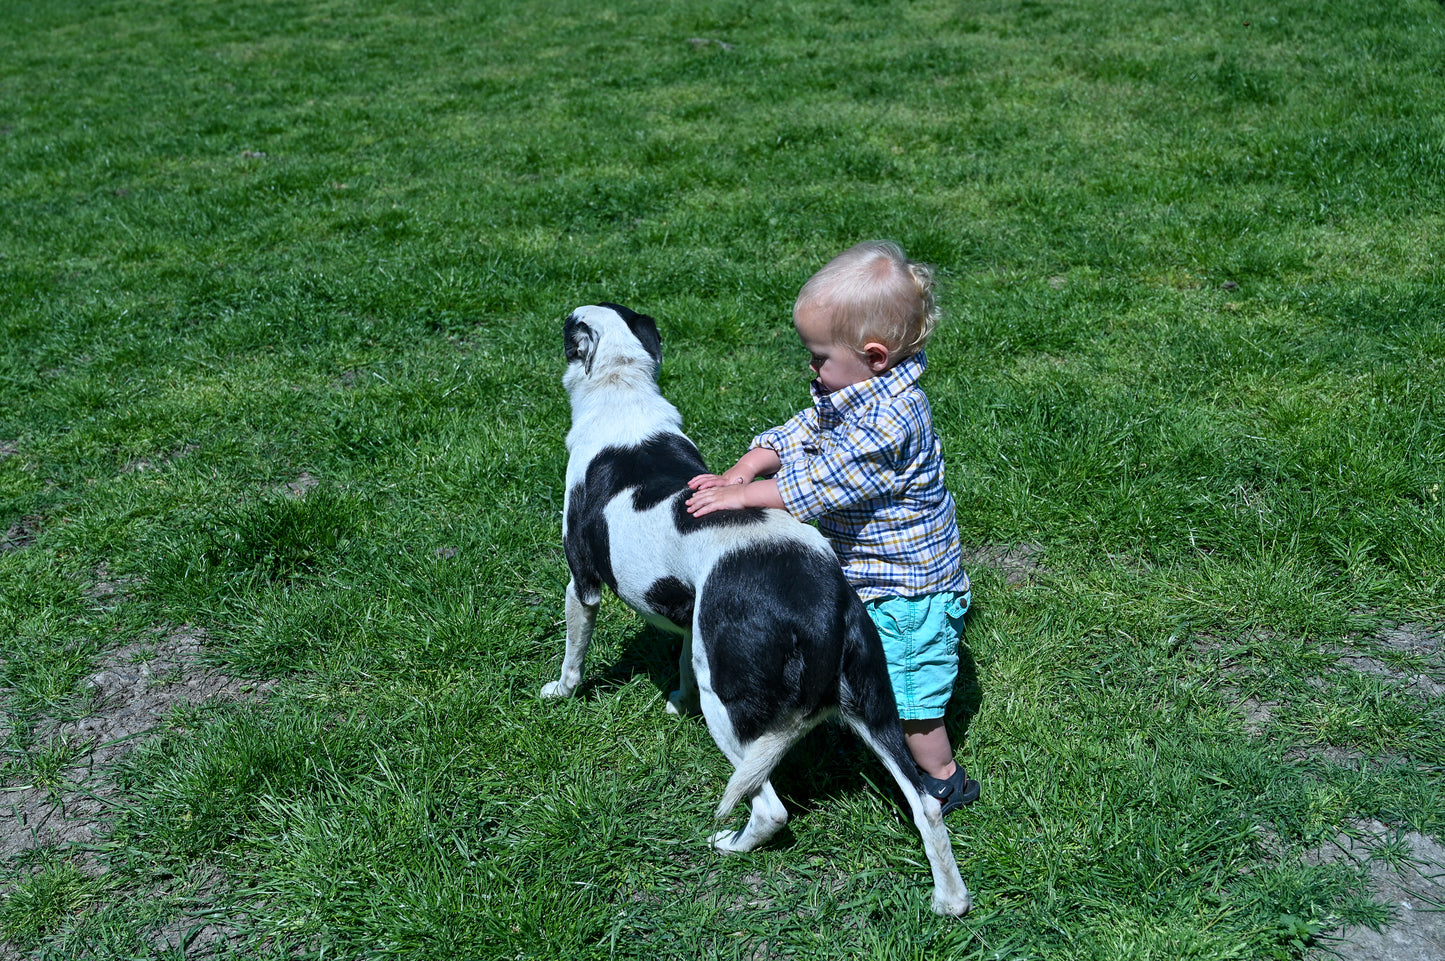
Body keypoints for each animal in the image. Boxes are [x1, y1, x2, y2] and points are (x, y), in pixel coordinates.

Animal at [543, 304, 971, 913]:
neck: (620, 389)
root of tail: (824, 603)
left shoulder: (583, 584)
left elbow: (574, 654)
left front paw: (561, 692)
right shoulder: (691, 615)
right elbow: (679, 660)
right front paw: (674, 701)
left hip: (732, 704)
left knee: (770, 808)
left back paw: (730, 844)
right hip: (875, 705)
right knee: (926, 803)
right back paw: (949, 900)